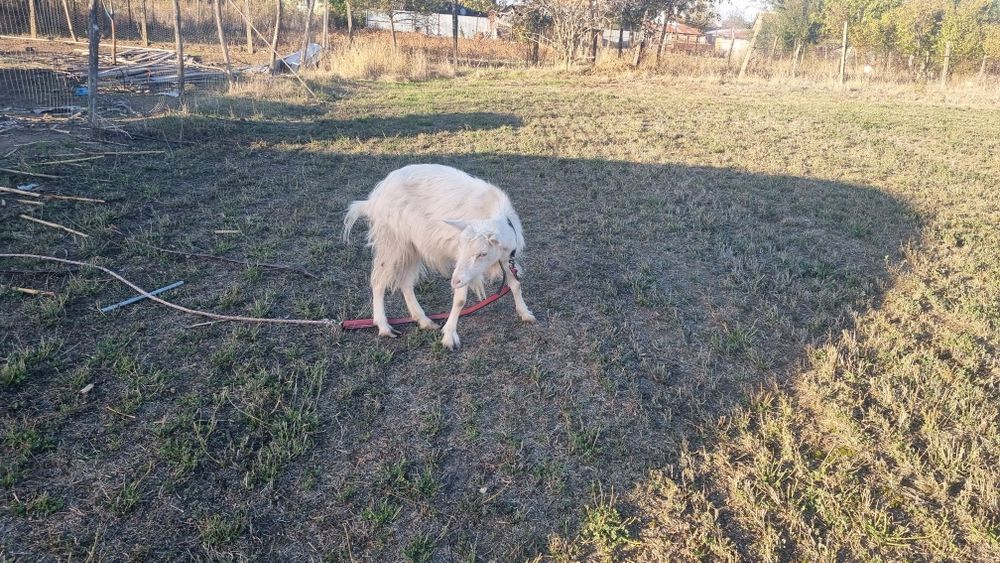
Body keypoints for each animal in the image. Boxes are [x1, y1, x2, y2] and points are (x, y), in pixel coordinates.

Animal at [343, 164, 536, 350]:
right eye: (461, 246)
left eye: (483, 253)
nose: (454, 281)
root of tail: (375, 197)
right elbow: (460, 300)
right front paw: (449, 336)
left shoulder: (504, 258)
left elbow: (515, 284)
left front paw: (525, 313)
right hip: (392, 242)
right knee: (378, 280)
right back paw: (384, 326)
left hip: (411, 246)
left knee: (405, 282)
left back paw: (424, 321)